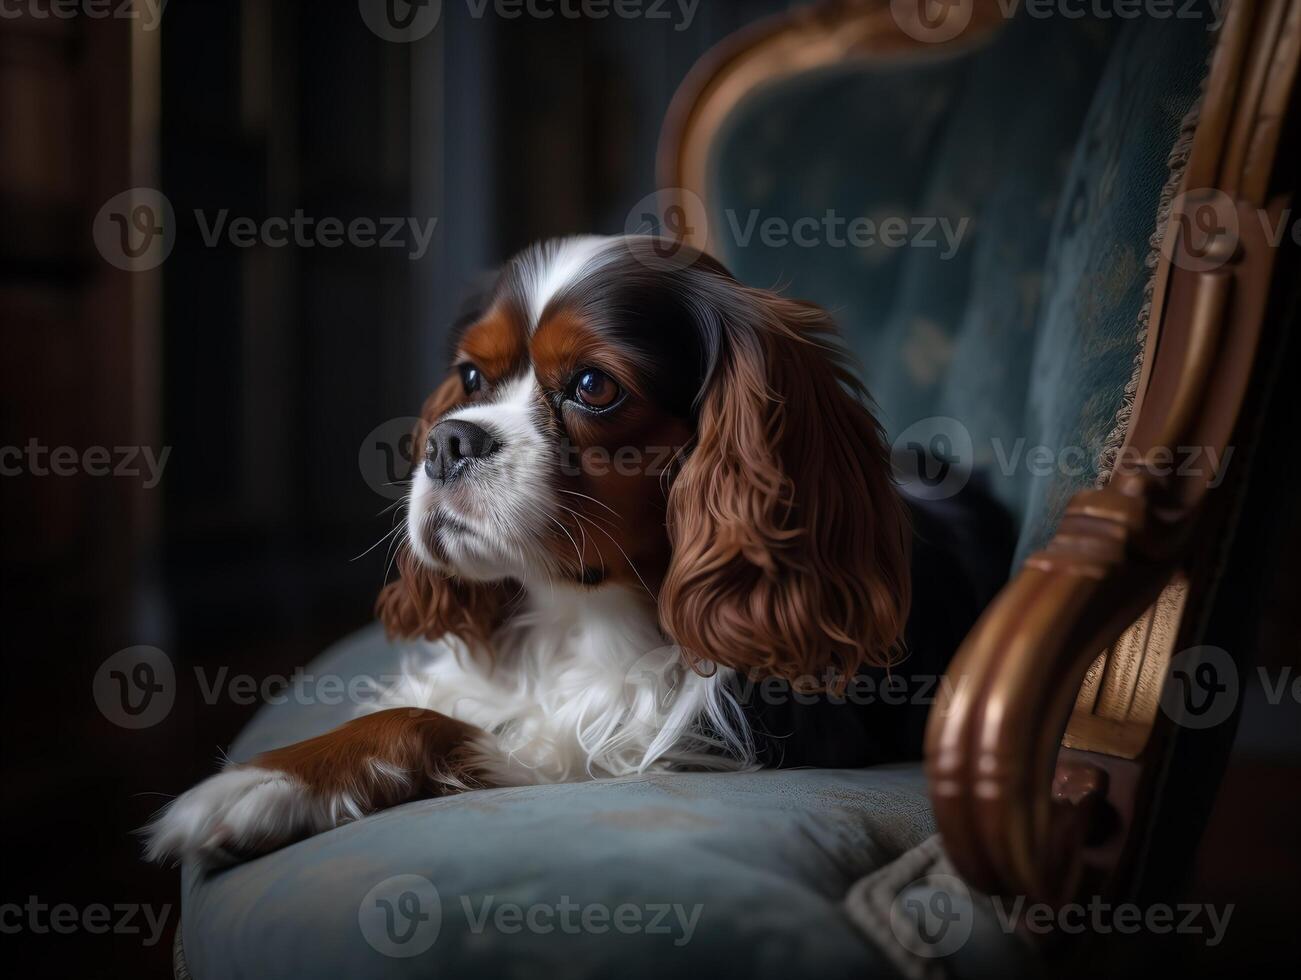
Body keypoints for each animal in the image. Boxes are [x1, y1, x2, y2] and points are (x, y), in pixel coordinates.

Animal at [145, 235, 1014, 864]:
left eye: (594, 387)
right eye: (470, 377)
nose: (448, 442)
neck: (578, 614)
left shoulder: (669, 742)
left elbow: (432, 723)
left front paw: (256, 787)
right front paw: (275, 773)